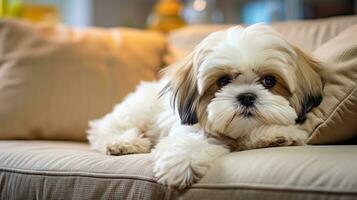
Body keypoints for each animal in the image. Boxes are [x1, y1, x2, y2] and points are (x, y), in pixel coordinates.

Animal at [87, 23, 322, 189]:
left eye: (270, 81)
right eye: (223, 81)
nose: (246, 96)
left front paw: (275, 135)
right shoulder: (189, 128)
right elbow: (187, 143)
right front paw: (181, 164)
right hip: (137, 111)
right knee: (104, 130)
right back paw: (123, 143)